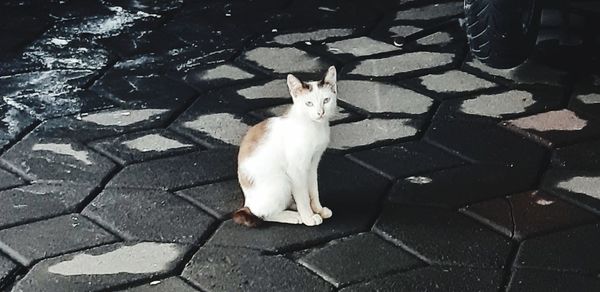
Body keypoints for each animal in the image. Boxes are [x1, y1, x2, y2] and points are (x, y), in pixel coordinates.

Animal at [232, 66, 338, 228]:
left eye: (326, 100)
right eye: (309, 103)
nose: (320, 113)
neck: (313, 126)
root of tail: (247, 203)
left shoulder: (313, 163)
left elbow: (313, 189)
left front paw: (318, 209)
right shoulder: (296, 169)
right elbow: (303, 196)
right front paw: (308, 217)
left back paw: (293, 206)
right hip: (282, 181)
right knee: (263, 214)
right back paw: (294, 216)